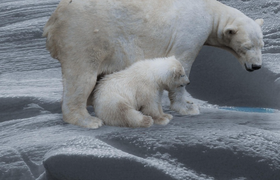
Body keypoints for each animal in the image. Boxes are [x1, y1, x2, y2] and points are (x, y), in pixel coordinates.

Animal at [42, 0, 264, 128]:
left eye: (261, 45)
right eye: (246, 47)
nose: (257, 67)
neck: (210, 10)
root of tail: (53, 19)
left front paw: (190, 102)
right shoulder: (191, 31)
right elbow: (182, 61)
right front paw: (187, 107)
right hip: (84, 35)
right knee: (82, 77)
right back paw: (88, 120)